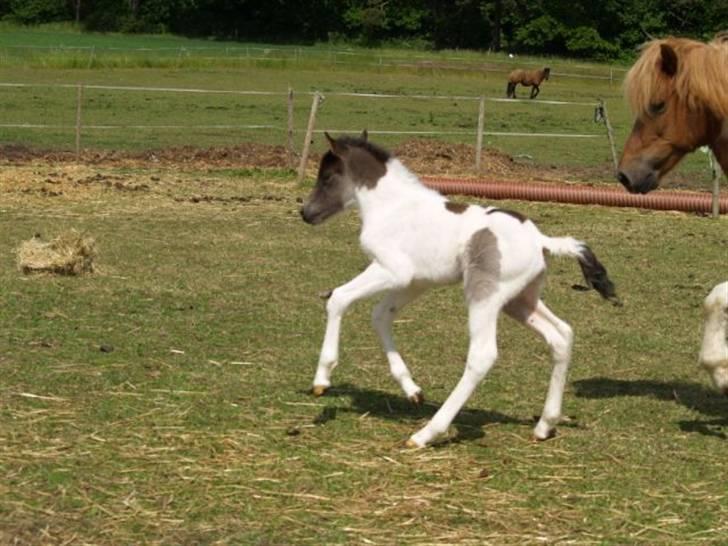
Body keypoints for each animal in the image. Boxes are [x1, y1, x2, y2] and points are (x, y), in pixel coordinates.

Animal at [298, 132, 616, 446]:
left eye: (328, 177)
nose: (305, 213)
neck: (393, 207)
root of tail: (541, 241)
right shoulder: (415, 282)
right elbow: (380, 316)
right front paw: (412, 389)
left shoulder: (392, 270)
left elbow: (338, 298)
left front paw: (322, 379)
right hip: (520, 301)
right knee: (561, 336)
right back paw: (544, 426)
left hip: (484, 296)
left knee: (483, 355)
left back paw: (426, 433)